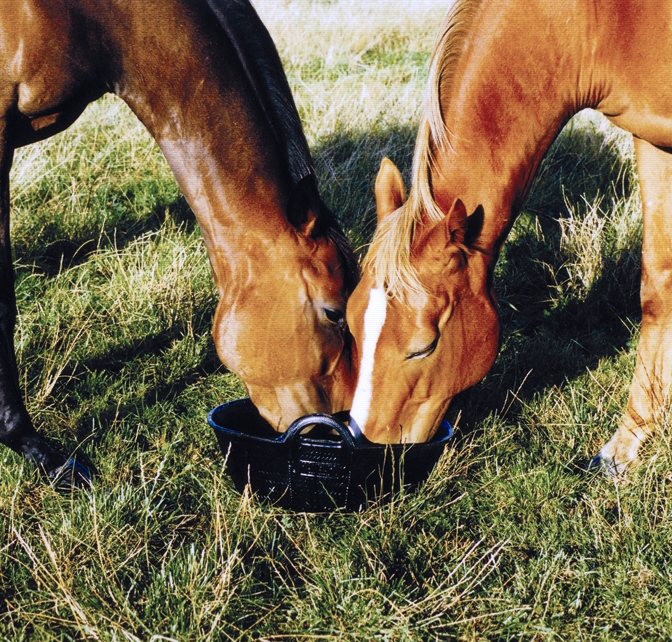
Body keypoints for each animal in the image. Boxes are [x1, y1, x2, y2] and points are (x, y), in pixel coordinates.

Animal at [346, 0, 672, 470]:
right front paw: (627, 443)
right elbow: (658, 287)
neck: (599, 24)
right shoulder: (652, 139)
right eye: (352, 323)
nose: (368, 446)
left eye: (424, 346)